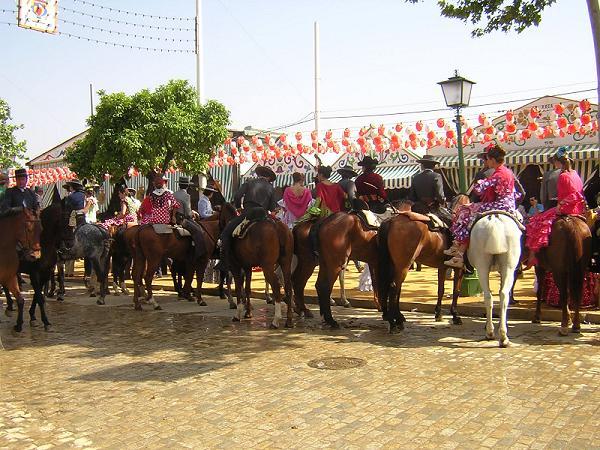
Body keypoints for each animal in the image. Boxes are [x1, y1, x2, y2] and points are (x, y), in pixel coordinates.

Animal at [376, 198, 468, 334]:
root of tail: (392, 220)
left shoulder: (442, 267)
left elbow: (441, 290)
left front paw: (438, 313)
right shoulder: (459, 268)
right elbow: (456, 291)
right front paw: (455, 315)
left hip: (395, 265)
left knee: (394, 288)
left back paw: (396, 318)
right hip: (403, 265)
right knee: (394, 288)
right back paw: (394, 323)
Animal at [466, 214, 524, 348]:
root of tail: (494, 219)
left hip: (485, 265)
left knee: (492, 296)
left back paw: (495, 333)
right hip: (507, 266)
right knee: (501, 295)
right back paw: (498, 335)